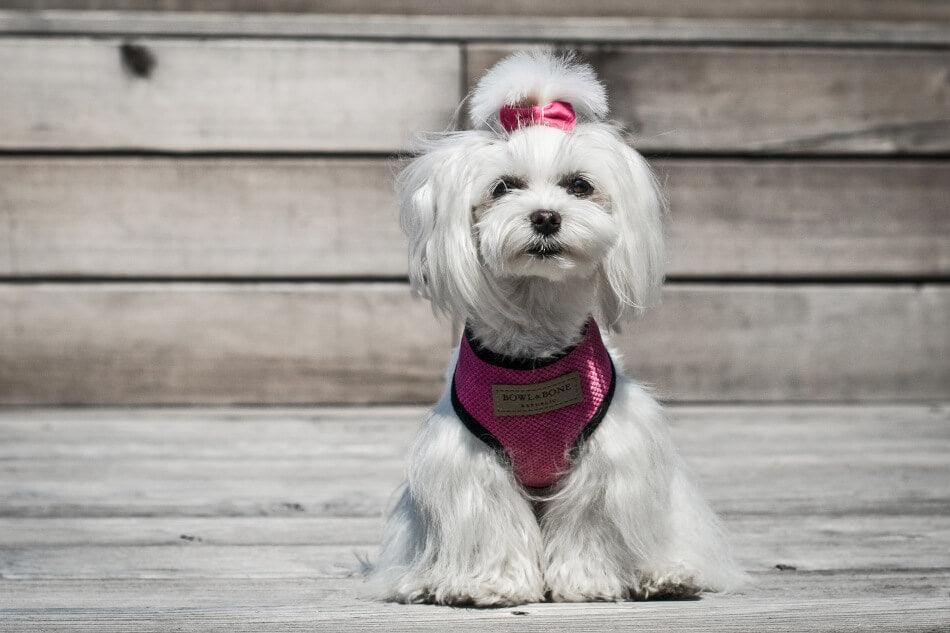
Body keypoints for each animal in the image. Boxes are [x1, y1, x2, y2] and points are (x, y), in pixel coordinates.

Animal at [368, 51, 748, 604]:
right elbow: (493, 522)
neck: (535, 341)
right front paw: (494, 584)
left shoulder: (606, 455)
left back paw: (666, 576)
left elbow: (589, 518)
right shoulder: (472, 462)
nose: (546, 217)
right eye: (503, 187)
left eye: (579, 185)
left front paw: (587, 582)